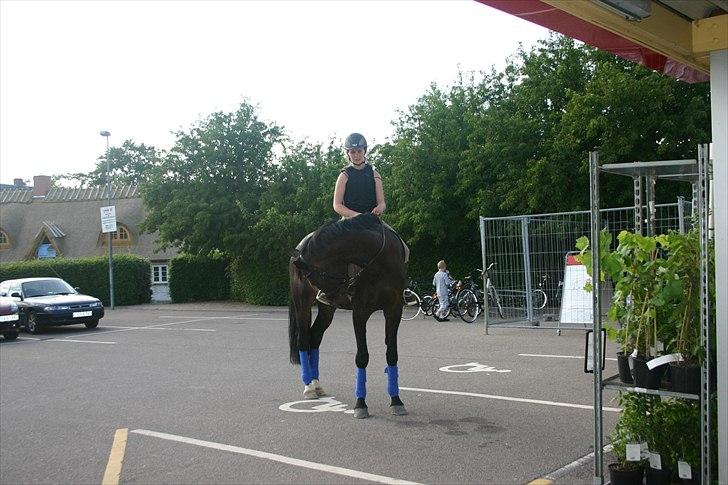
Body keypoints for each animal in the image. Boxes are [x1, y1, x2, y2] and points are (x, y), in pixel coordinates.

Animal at [288, 214, 406, 418]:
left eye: (319, 278)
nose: (331, 295)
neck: (379, 263)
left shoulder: (394, 310)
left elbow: (392, 354)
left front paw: (396, 400)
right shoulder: (360, 312)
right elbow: (362, 356)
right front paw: (360, 404)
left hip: (327, 311)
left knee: (315, 338)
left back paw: (317, 384)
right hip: (302, 304)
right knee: (303, 340)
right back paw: (309, 387)